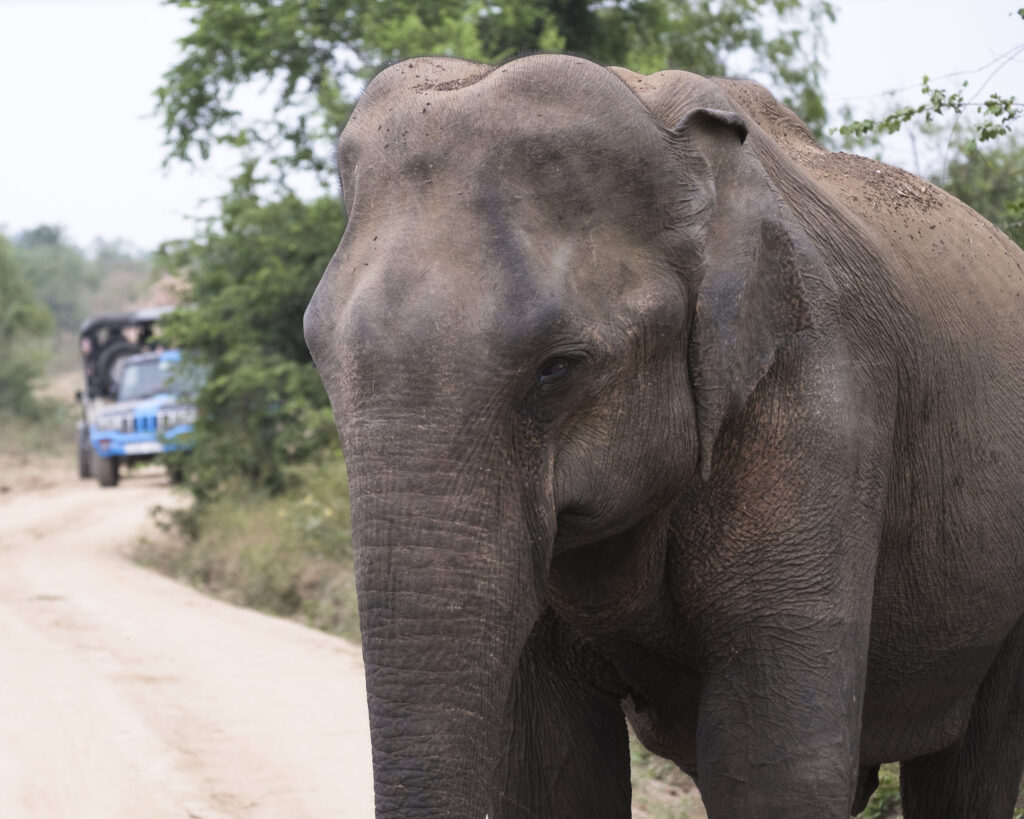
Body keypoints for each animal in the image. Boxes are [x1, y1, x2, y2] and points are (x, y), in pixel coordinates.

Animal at [304, 54, 1024, 818]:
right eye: (319, 355)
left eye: (557, 368)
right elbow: (552, 771)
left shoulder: (824, 399)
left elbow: (771, 764)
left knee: (972, 764)